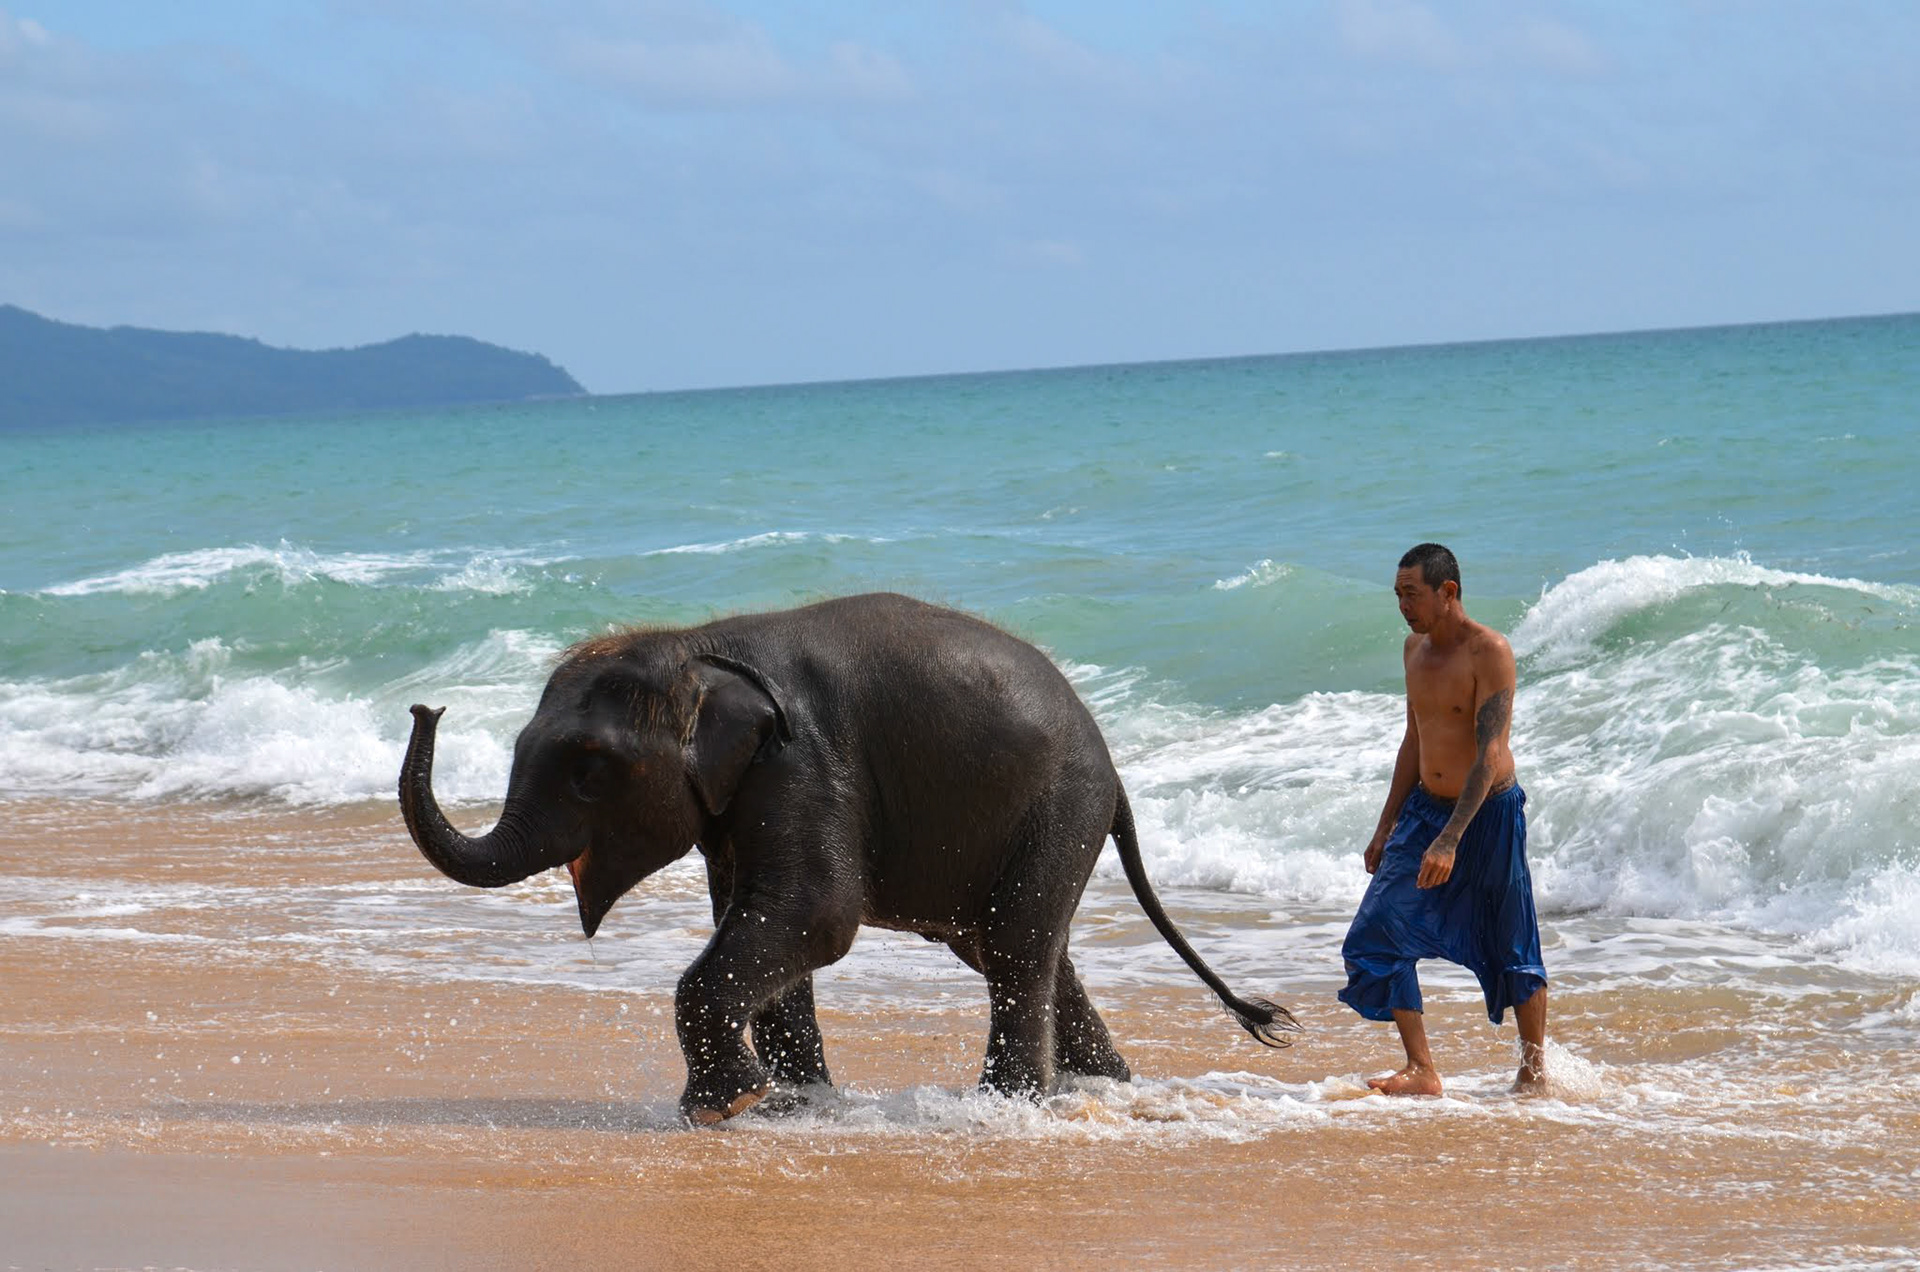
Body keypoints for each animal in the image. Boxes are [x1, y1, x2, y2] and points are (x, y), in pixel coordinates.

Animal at [399, 592, 1297, 1125]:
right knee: (1018, 949)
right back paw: (1103, 1089)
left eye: (588, 769)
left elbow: (815, 915)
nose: (425, 706)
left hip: (1059, 807)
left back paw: (1010, 1107)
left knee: (1015, 946)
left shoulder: (803, 764)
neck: (697, 646)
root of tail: (1115, 772)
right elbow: (758, 915)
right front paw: (792, 1103)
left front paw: (725, 1108)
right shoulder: (747, 795)